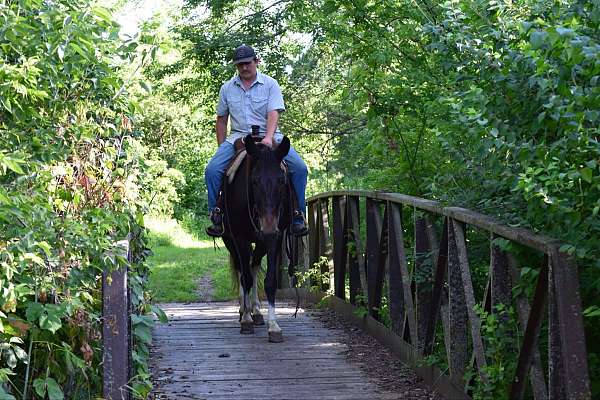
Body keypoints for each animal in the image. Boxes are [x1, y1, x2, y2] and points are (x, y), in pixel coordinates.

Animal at [223, 134, 292, 340]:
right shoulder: (239, 238)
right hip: (230, 241)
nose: (268, 227)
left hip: (260, 243)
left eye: (281, 180)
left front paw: (274, 326)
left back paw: (256, 310)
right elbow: (245, 278)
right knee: (242, 269)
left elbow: (269, 281)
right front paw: (246, 320)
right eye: (254, 181)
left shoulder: (275, 237)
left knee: (253, 266)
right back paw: (244, 310)